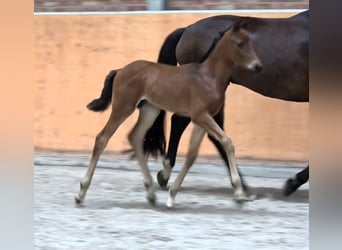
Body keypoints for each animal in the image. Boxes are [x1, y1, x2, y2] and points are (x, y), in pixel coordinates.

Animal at [75, 18, 262, 207]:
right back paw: (81, 193)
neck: (209, 77)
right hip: (123, 107)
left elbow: (192, 154)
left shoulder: (202, 119)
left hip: (150, 109)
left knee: (135, 137)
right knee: (102, 138)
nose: (258, 66)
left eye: (250, 42)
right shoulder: (200, 116)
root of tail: (120, 70)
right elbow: (227, 142)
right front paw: (239, 193)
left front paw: (172, 194)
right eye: (239, 43)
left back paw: (151, 193)